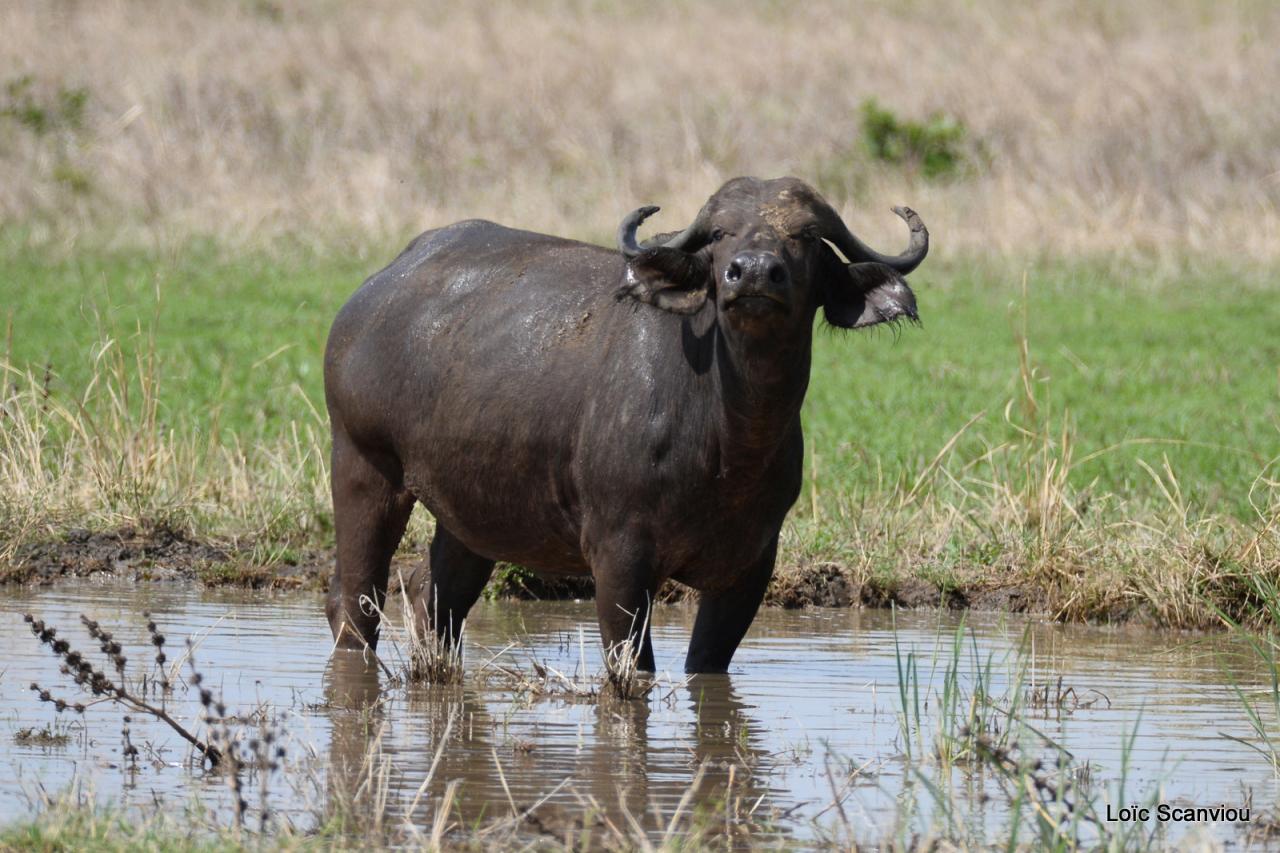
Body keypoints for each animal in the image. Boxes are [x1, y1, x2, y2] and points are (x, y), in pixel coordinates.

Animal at [325, 175, 926, 671]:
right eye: (721, 233)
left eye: (806, 235)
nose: (754, 272)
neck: (728, 445)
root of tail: (369, 298)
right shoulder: (619, 559)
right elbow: (635, 667)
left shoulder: (750, 570)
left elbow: (706, 668)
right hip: (362, 466)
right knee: (354, 604)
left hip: (471, 512)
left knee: (435, 602)